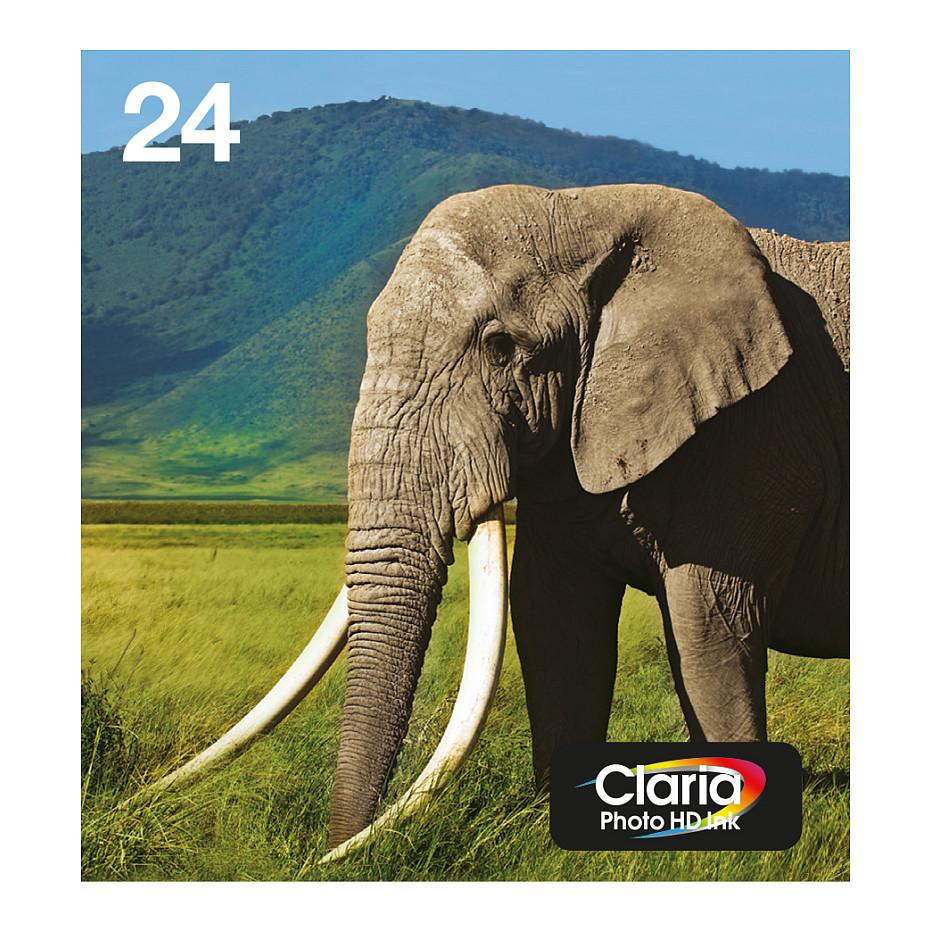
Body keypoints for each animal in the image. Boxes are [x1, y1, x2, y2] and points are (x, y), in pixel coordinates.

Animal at [154, 184, 849, 861]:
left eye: (500, 347)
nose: (323, 858)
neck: (589, 204)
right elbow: (553, 619)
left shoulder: (756, 430)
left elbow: (711, 622)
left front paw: (734, 850)